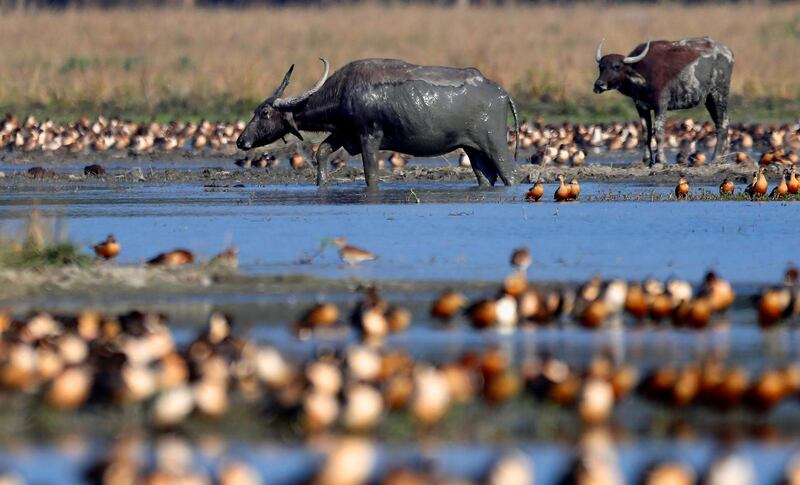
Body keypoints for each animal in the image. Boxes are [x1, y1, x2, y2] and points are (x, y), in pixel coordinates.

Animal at [238, 57, 520, 188]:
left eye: (265, 112)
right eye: (256, 110)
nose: (241, 141)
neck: (343, 93)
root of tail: (501, 92)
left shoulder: (369, 138)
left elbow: (370, 174)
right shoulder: (342, 134)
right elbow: (321, 152)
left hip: (494, 143)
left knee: (510, 173)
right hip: (473, 149)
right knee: (486, 177)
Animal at [592, 35, 732, 164]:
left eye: (617, 66)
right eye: (601, 67)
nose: (599, 84)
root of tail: (728, 52)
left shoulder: (661, 105)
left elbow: (658, 132)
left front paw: (661, 160)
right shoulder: (641, 106)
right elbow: (646, 132)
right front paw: (647, 160)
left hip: (719, 94)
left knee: (723, 124)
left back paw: (715, 158)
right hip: (709, 99)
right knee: (720, 123)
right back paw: (722, 158)